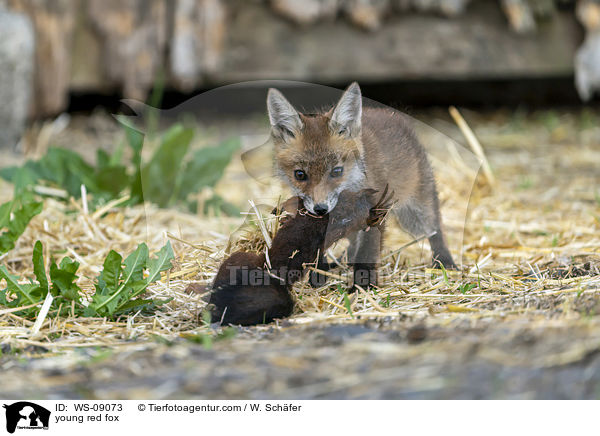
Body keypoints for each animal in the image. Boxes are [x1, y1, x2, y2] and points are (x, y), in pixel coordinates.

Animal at [266, 82, 454, 288]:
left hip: (415, 214)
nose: (320, 209)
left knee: (435, 229)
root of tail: (391, 114)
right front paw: (319, 274)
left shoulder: (374, 213)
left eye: (336, 171)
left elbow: (367, 253)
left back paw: (445, 262)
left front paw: (362, 286)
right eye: (300, 174)